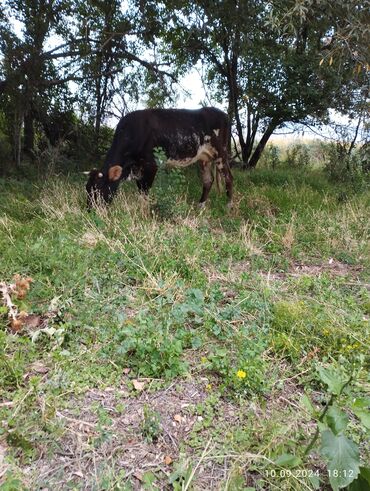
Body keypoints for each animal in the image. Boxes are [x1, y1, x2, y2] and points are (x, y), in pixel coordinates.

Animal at [85, 106, 233, 209]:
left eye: (99, 189)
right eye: (87, 189)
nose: (90, 211)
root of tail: (222, 114)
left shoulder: (151, 165)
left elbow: (144, 191)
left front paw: (143, 211)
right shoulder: (138, 167)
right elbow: (140, 189)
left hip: (221, 152)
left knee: (228, 177)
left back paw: (229, 206)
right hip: (204, 158)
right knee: (208, 180)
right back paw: (200, 206)